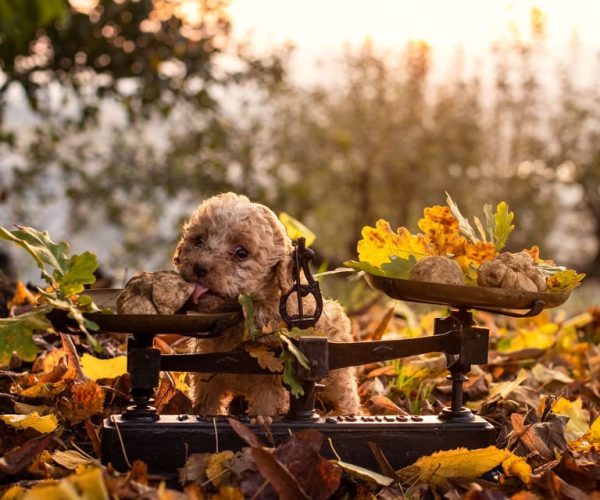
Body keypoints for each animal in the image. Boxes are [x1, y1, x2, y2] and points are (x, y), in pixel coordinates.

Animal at [173, 193, 360, 416]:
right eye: (198, 240)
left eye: (241, 253)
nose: (199, 267)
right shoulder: (207, 373)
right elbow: (207, 402)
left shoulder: (272, 380)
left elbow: (265, 406)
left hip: (339, 379)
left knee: (346, 398)